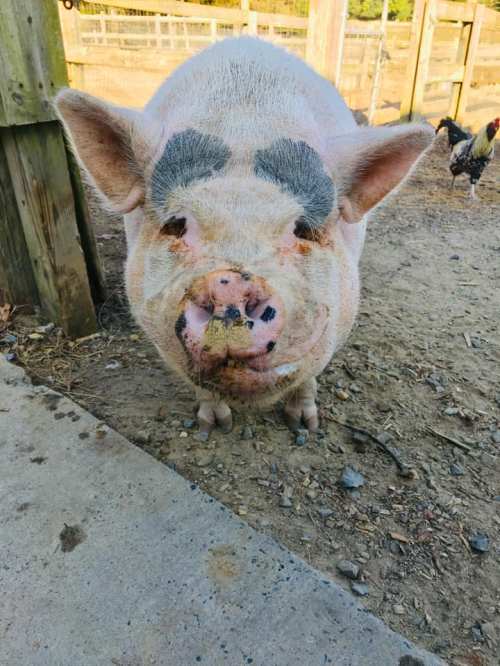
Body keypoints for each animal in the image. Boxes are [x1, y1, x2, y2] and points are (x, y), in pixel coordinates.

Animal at [55, 37, 433, 436]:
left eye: (302, 229)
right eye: (176, 224)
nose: (229, 285)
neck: (246, 127)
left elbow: (309, 374)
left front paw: (305, 425)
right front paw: (214, 427)